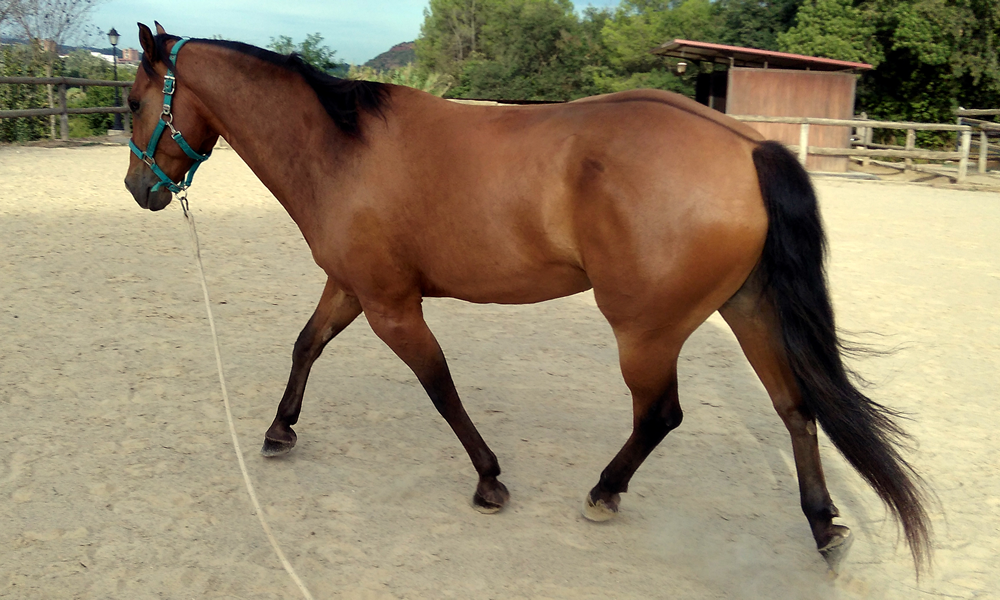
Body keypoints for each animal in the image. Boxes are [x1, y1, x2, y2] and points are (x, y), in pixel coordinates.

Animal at [123, 22, 931, 574]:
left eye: (131, 101)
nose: (139, 190)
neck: (339, 151)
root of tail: (743, 143)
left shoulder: (391, 306)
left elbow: (439, 386)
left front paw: (488, 479)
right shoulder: (351, 288)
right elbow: (306, 345)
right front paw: (279, 430)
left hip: (646, 331)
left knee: (660, 415)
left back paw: (605, 493)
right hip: (749, 310)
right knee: (796, 408)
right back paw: (823, 525)